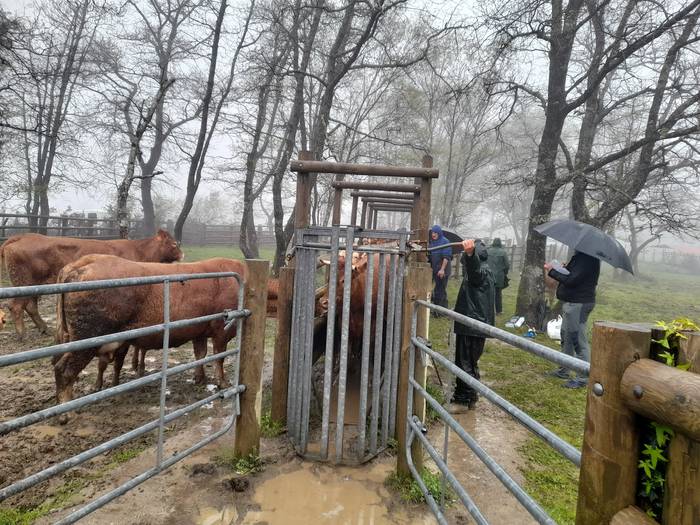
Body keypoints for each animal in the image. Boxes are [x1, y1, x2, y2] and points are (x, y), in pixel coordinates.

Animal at [0, 228, 183, 336]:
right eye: (174, 244)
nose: (182, 255)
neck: (139, 251)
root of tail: (21, 236)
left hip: (33, 285)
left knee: (30, 306)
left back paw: (43, 328)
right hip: (23, 282)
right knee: (16, 306)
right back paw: (22, 333)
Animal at [53, 254, 247, 406]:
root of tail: (81, 263)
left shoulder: (198, 331)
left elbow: (200, 354)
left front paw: (199, 378)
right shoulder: (221, 330)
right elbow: (219, 357)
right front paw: (223, 383)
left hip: (68, 336)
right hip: (87, 338)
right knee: (63, 369)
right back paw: (66, 411)